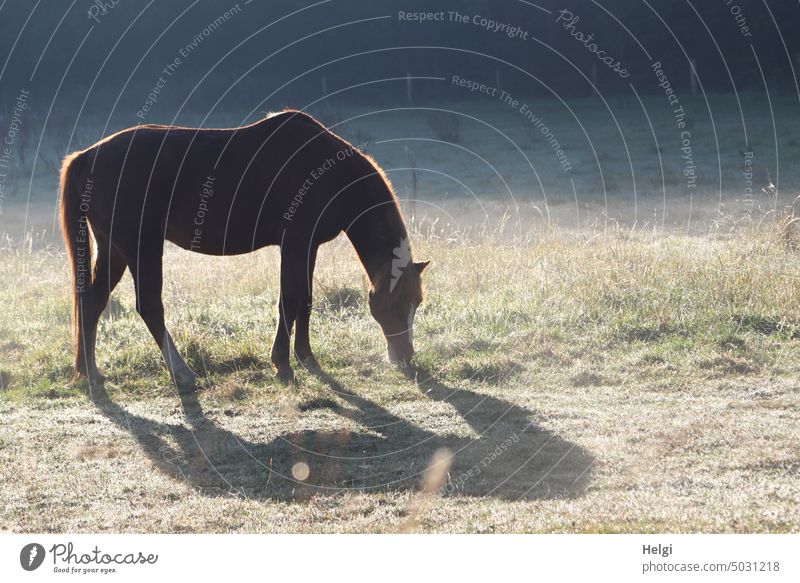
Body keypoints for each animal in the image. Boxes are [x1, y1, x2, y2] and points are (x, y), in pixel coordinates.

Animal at [58, 111, 428, 390]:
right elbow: (289, 298)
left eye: (417, 302)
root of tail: (86, 157)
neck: (329, 173)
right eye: (395, 303)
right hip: (141, 248)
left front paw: (306, 357)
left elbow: (305, 299)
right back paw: (182, 372)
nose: (406, 356)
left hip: (114, 249)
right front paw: (282, 364)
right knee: (149, 306)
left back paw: (91, 373)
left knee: (92, 301)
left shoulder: (308, 246)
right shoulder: (294, 243)